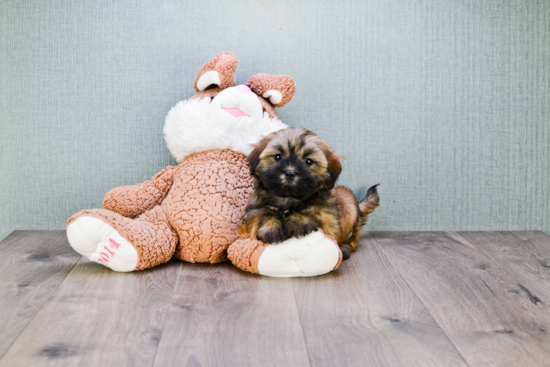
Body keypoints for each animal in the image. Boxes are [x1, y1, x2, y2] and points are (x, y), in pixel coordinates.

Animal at [239, 128, 382, 260]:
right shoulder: (254, 211)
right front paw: (271, 228)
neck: (289, 199)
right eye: (278, 157)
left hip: (347, 198)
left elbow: (312, 214)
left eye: (308, 161)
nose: (290, 172)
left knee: (352, 240)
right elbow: (264, 214)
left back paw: (344, 249)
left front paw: (299, 221)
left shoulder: (328, 219)